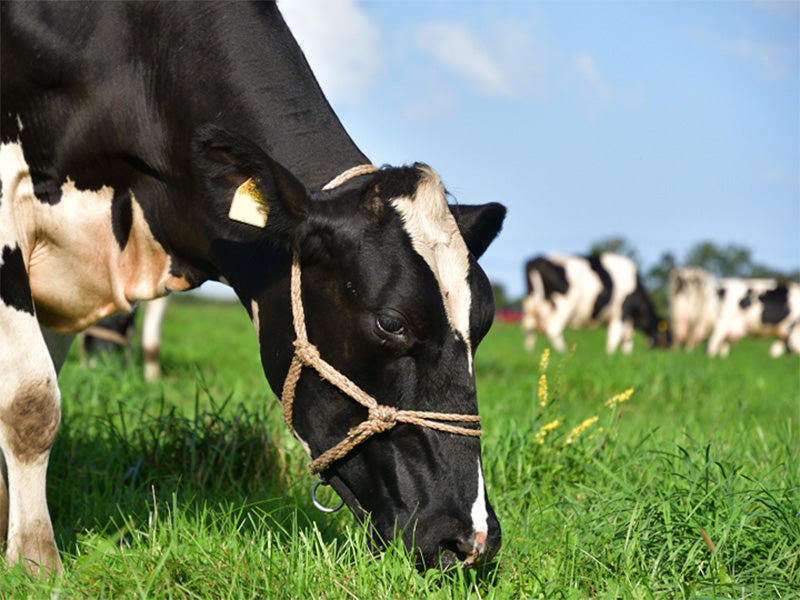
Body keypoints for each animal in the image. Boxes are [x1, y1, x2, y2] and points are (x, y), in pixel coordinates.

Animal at [520, 252, 668, 354]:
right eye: (668, 333)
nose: (667, 350)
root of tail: (536, 260)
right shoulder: (621, 312)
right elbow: (614, 337)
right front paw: (610, 355)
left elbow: (626, 339)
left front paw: (625, 356)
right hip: (563, 305)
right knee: (552, 329)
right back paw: (564, 352)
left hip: (531, 304)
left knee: (529, 327)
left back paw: (529, 352)